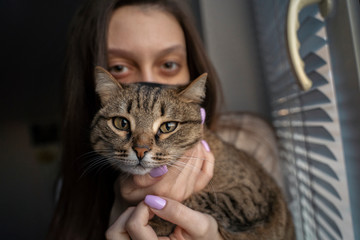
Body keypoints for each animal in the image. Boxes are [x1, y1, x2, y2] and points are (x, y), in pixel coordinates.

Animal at [90, 66, 296, 240]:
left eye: (168, 126)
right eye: (121, 123)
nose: (141, 150)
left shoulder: (250, 197)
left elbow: (198, 199)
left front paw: (158, 220)